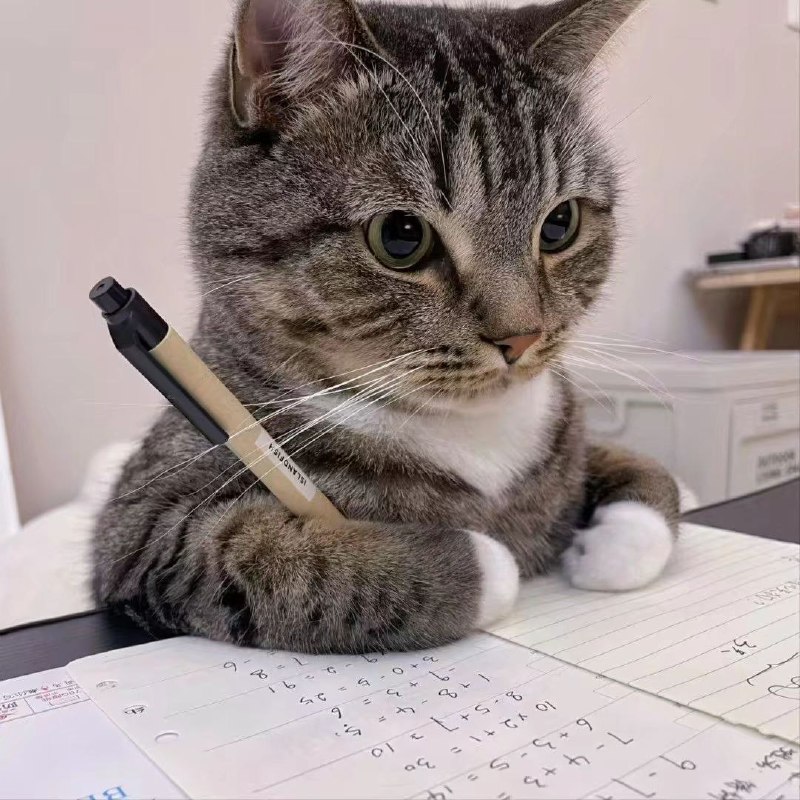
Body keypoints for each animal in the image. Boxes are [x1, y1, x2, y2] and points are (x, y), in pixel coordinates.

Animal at [93, 0, 680, 653]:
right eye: (401, 237)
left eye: (560, 224)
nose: (521, 337)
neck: (470, 435)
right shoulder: (147, 524)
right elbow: (286, 559)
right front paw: (485, 562)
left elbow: (651, 471)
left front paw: (614, 539)